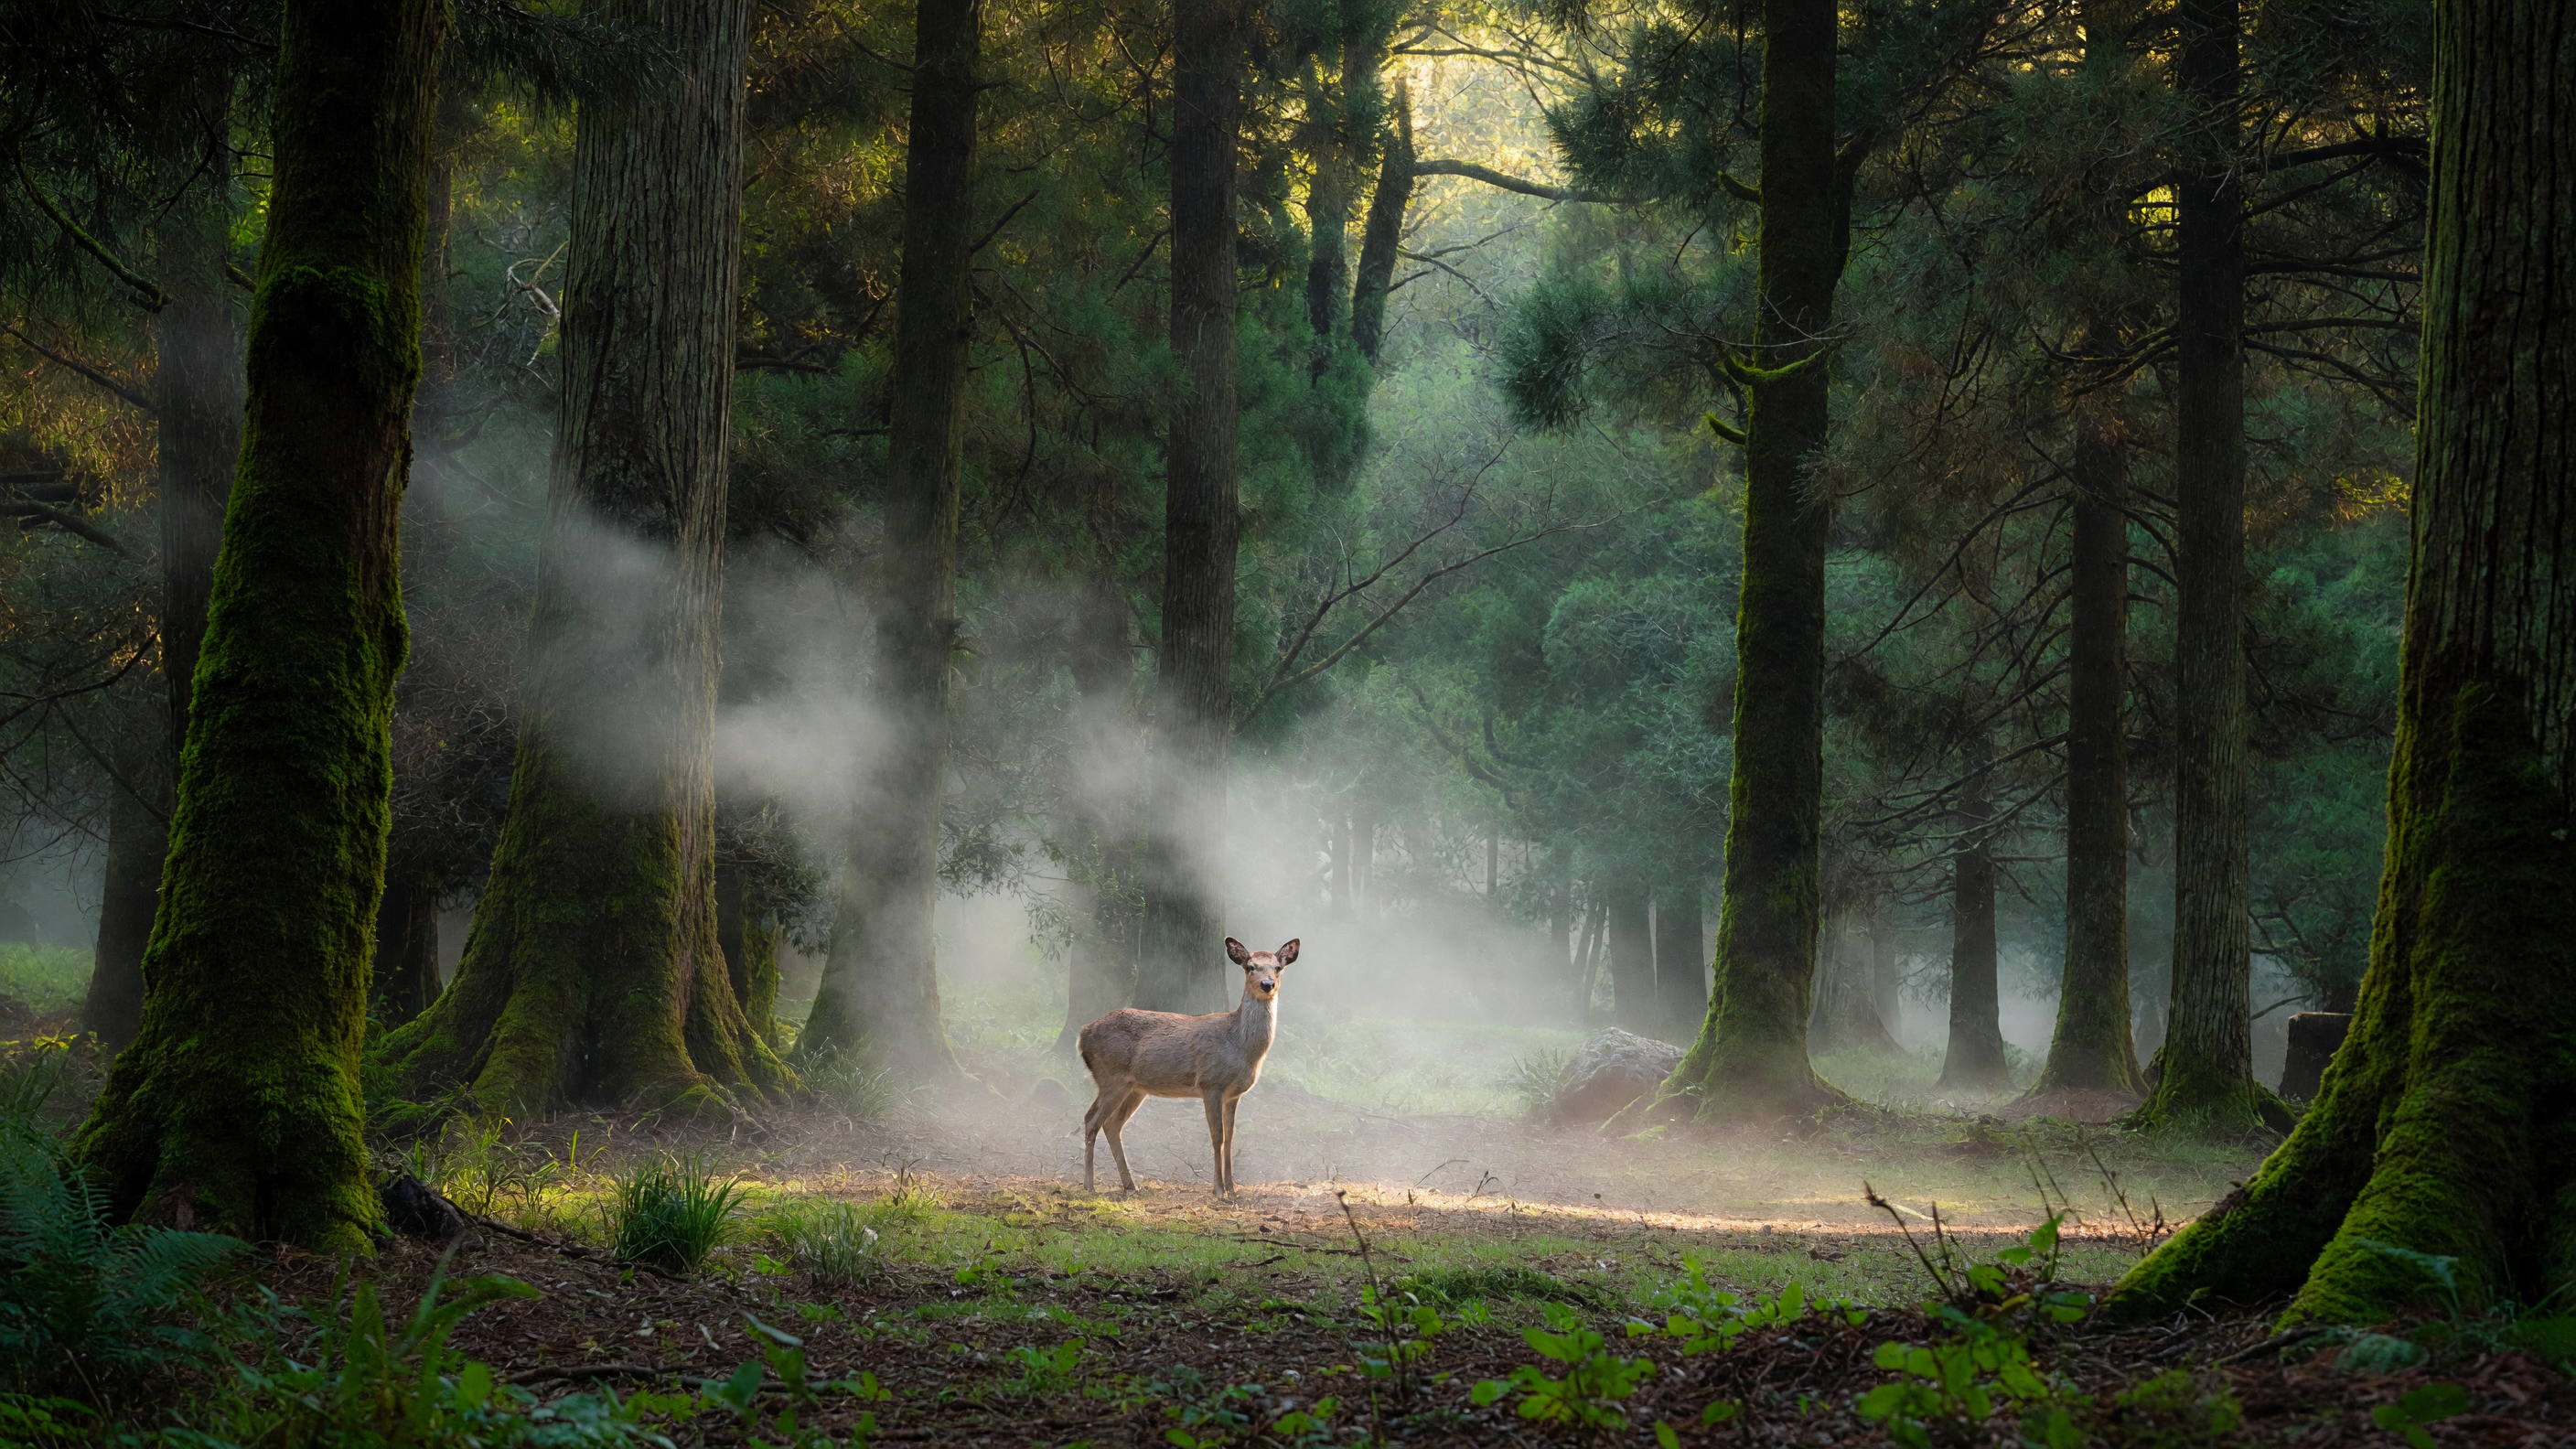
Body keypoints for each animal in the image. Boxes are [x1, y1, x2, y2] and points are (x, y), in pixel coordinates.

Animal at [1077, 937, 1298, 1196]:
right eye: (1250, 966)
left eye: (1278, 967)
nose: (1267, 984)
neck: (1239, 1047)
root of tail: (1083, 1035)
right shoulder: (1210, 1083)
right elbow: (1217, 1136)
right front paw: (1218, 1190)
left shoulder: (1233, 1094)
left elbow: (1230, 1137)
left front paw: (1233, 1189)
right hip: (1112, 1077)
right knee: (1092, 1120)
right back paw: (1089, 1185)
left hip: (1134, 1088)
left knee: (1111, 1124)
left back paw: (1131, 1185)